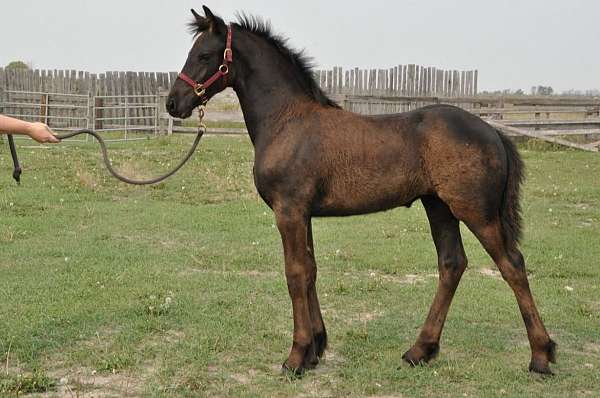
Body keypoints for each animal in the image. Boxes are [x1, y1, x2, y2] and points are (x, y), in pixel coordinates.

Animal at [166, 5, 556, 376]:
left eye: (203, 55)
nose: (173, 103)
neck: (287, 122)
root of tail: (494, 132)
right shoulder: (303, 214)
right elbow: (310, 269)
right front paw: (315, 349)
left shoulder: (289, 211)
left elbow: (295, 273)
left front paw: (296, 357)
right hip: (439, 207)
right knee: (452, 264)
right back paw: (420, 351)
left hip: (476, 211)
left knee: (512, 265)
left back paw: (541, 355)